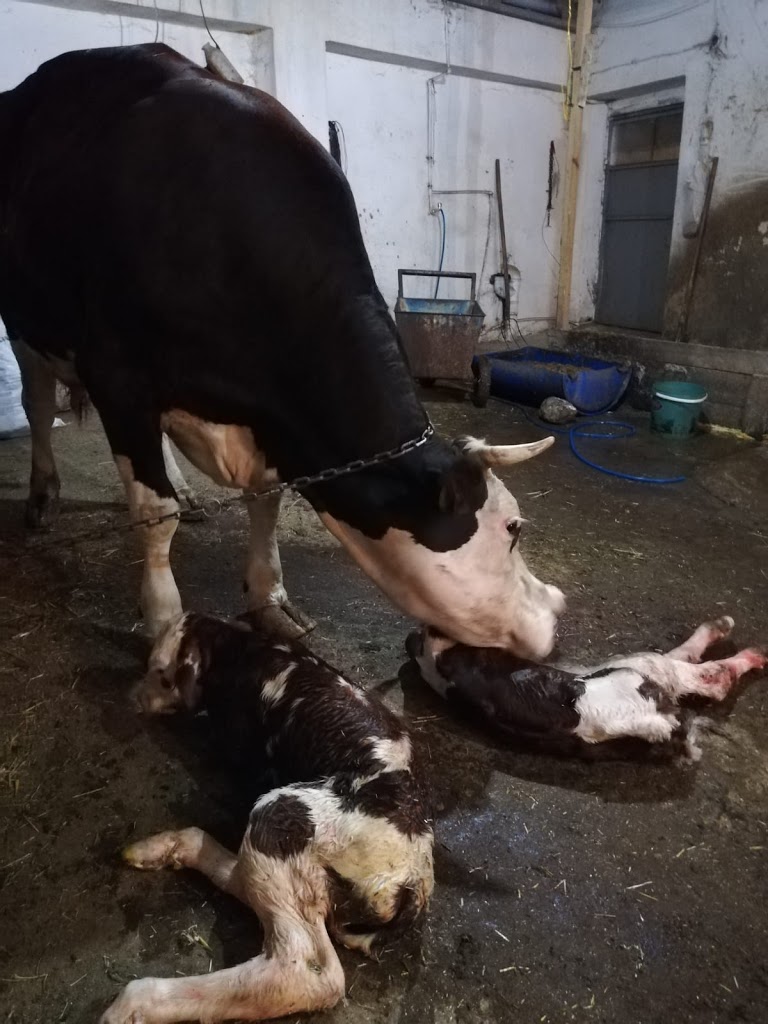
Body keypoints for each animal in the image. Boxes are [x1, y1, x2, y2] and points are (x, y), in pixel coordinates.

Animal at [0, 44, 565, 655]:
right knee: (37, 405)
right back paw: (43, 496)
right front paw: (166, 622)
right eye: (512, 529)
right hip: (23, 319)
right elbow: (154, 515)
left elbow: (265, 500)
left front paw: (268, 597)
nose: (557, 610)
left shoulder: (266, 419)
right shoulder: (117, 376)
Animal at [101, 610, 434, 1024]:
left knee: (304, 970)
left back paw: (135, 1003)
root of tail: (415, 879)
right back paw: (157, 849)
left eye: (162, 673)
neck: (240, 649)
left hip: (280, 815)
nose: (133, 699)